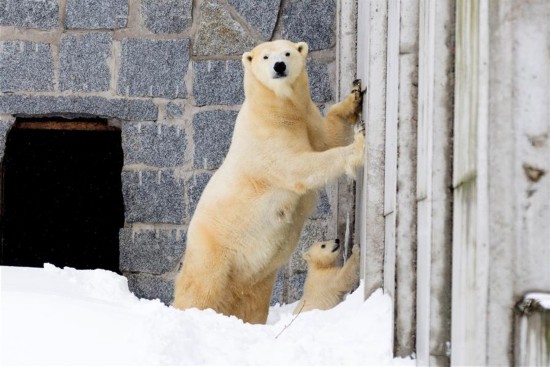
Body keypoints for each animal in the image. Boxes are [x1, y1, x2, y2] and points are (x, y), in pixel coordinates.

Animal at [175, 38, 366, 324]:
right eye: (265, 57)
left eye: (287, 53)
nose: (279, 66)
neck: (278, 107)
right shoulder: (267, 138)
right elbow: (300, 166)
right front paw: (360, 145)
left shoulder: (306, 118)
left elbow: (328, 137)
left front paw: (353, 98)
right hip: (214, 249)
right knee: (202, 286)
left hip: (255, 275)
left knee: (252, 298)